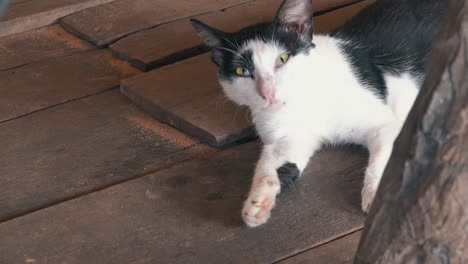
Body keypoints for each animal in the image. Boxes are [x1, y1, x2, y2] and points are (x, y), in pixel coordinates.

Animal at [189, 0, 446, 227]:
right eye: (242, 71)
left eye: (282, 59)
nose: (267, 93)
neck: (304, 102)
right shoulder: (287, 138)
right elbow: (269, 166)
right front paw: (257, 204)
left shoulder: (387, 123)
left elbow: (385, 157)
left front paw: (375, 198)